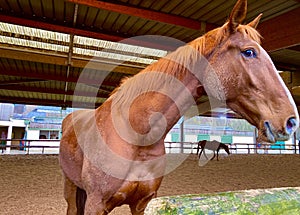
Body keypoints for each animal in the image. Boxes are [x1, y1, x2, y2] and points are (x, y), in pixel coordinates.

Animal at [58, 0, 298, 214]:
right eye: (249, 52)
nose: (291, 121)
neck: (138, 137)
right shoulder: (96, 204)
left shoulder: (141, 204)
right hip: (70, 187)